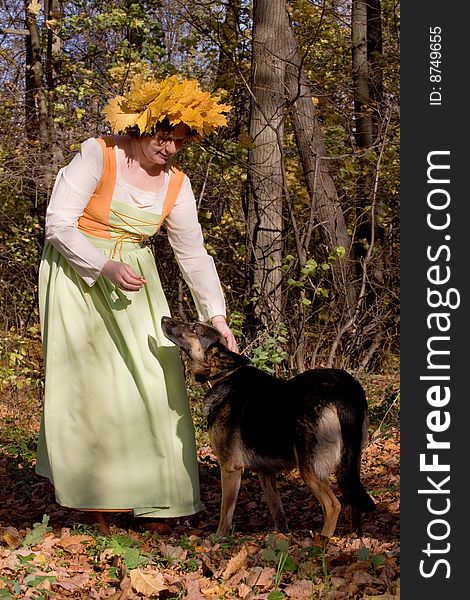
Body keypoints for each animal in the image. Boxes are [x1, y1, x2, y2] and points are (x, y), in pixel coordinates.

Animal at [161, 316, 374, 536]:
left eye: (194, 328)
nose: (164, 318)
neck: (224, 375)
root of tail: (345, 391)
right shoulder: (266, 473)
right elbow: (277, 511)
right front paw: (283, 536)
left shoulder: (230, 468)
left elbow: (225, 513)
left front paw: (218, 537)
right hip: (351, 463)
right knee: (353, 502)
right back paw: (353, 536)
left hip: (310, 468)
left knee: (333, 506)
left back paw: (321, 541)